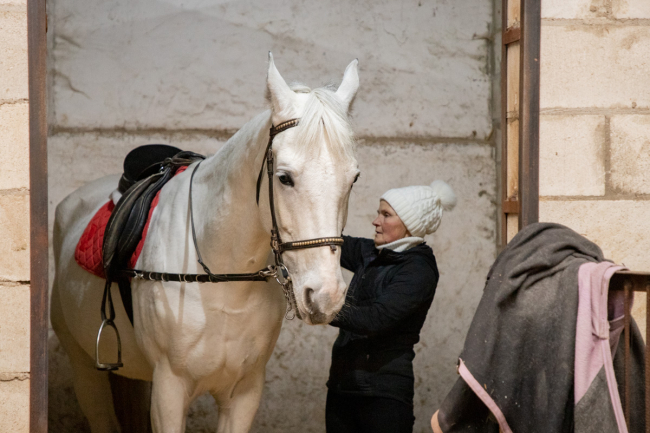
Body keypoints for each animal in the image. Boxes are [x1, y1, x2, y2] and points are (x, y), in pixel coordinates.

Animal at [51, 53, 360, 433]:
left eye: (353, 178)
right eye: (284, 178)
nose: (326, 296)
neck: (223, 280)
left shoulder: (244, 393)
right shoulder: (169, 390)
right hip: (85, 370)